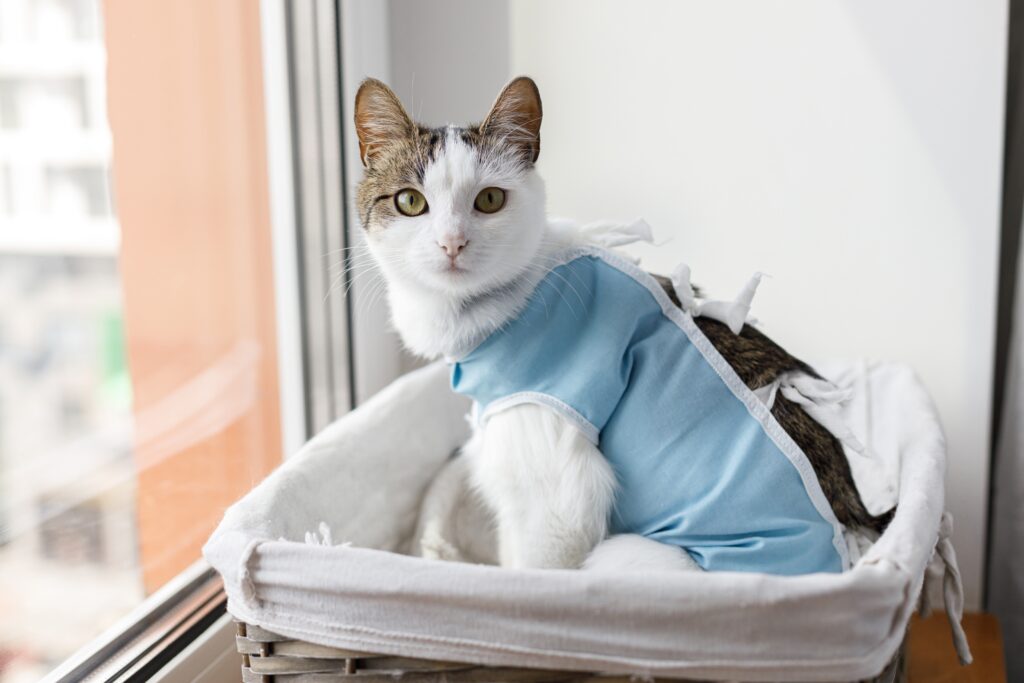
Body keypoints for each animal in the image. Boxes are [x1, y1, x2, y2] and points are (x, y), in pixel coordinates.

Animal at [352, 76, 888, 573]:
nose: (451, 243)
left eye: (488, 200)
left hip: (631, 555)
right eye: (409, 202)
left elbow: (533, 573)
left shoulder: (554, 485)